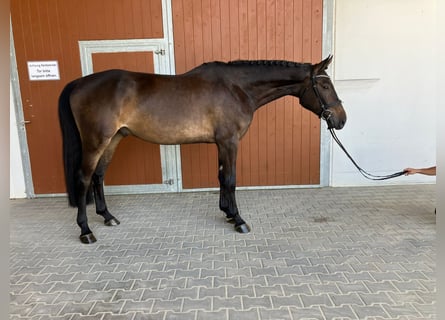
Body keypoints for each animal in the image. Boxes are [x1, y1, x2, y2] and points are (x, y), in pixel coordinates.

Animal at [58, 55, 344, 242]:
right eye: (325, 85)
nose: (341, 120)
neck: (237, 87)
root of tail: (79, 83)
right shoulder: (230, 141)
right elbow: (230, 179)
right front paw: (238, 220)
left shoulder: (221, 143)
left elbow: (221, 177)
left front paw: (226, 213)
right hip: (96, 141)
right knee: (84, 179)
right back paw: (86, 231)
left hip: (114, 139)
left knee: (98, 176)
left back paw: (108, 216)